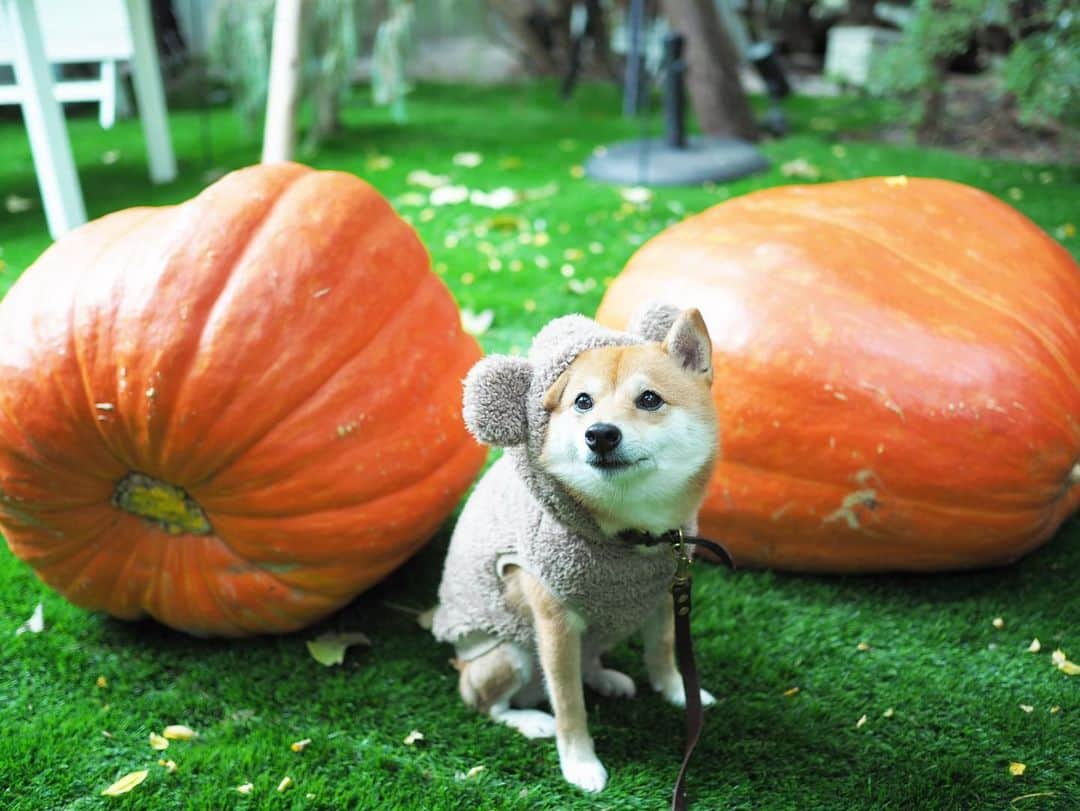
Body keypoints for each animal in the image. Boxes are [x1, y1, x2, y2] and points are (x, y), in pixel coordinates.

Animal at [429, 304, 717, 794]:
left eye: (650, 399)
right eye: (583, 402)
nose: (600, 434)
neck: (632, 534)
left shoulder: (662, 590)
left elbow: (662, 649)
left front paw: (679, 691)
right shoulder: (556, 625)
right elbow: (568, 703)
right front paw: (580, 763)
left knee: (589, 659)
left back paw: (605, 677)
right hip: (507, 655)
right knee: (488, 703)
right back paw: (530, 719)